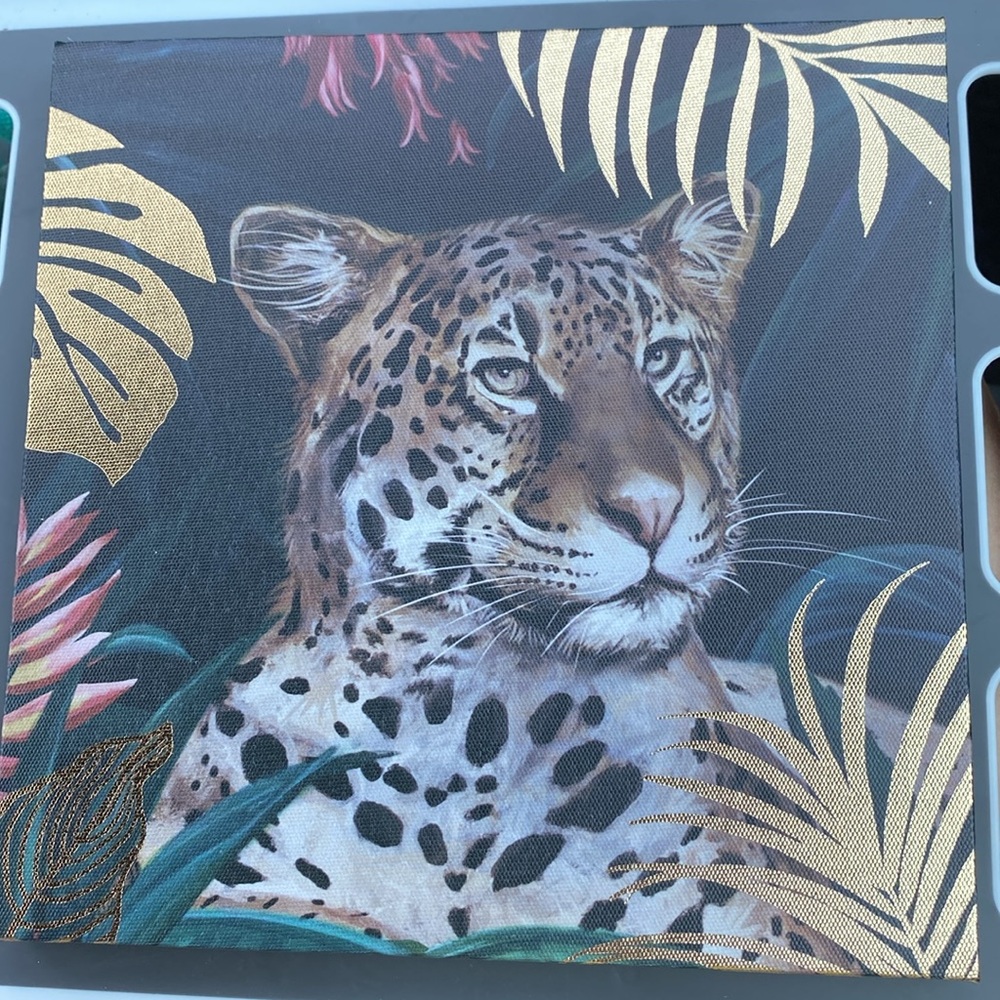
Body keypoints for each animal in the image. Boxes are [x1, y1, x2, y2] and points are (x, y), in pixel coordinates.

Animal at [143, 174, 847, 966]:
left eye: (663, 359)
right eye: (505, 374)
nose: (652, 509)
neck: (467, 742)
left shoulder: (754, 921)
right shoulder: (206, 881)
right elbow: (319, 918)